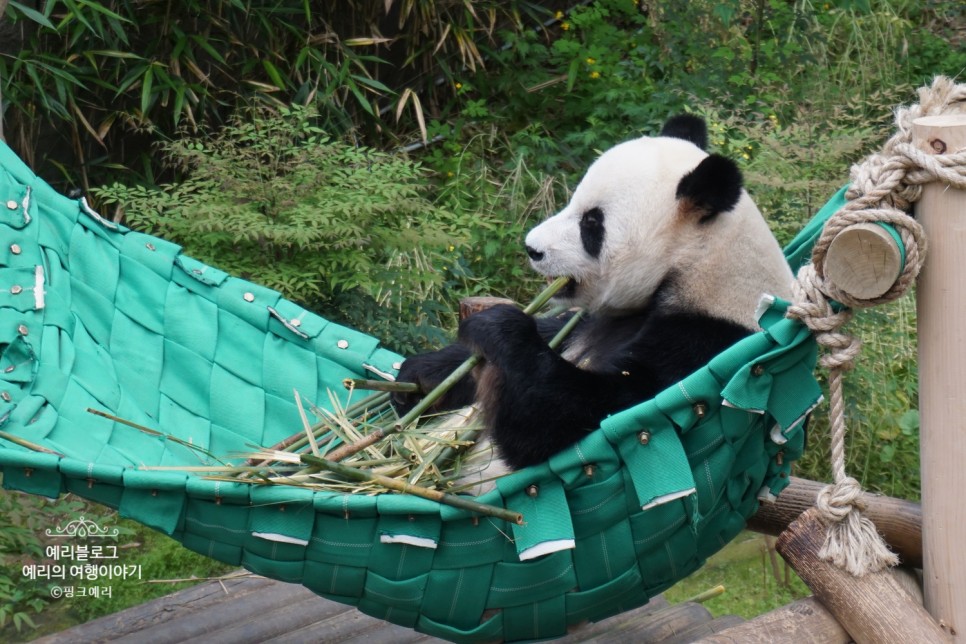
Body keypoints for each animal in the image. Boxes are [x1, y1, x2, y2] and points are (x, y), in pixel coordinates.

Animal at [394, 117, 796, 472]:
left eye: (591, 223)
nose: (532, 249)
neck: (698, 264)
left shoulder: (703, 345)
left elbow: (570, 416)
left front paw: (496, 327)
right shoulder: (590, 319)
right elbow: (551, 331)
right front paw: (420, 379)